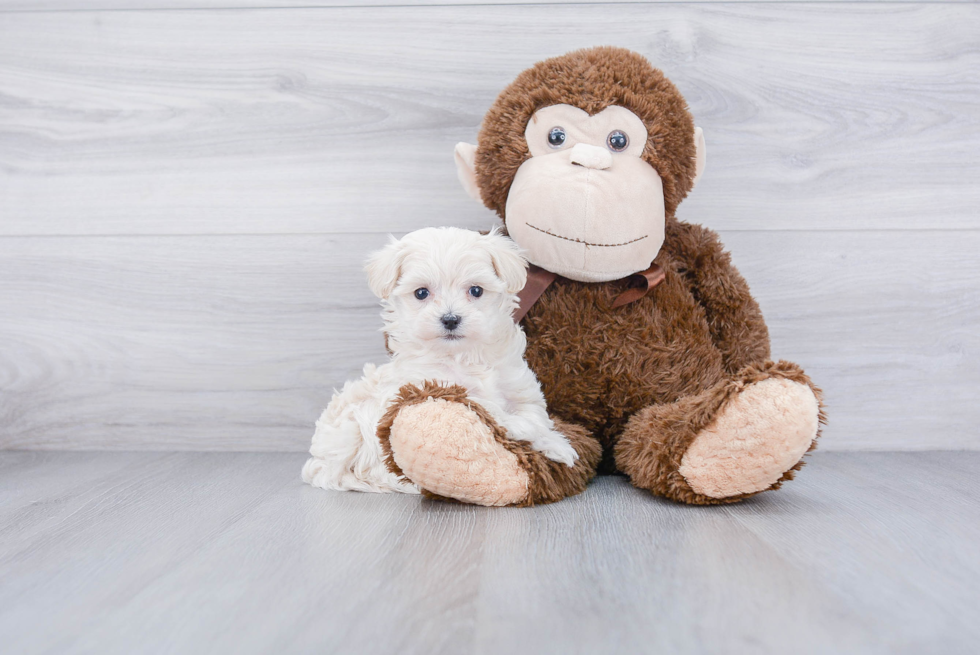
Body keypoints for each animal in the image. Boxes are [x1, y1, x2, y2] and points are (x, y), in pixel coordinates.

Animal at [298, 228, 576, 494]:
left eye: (476, 290)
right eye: (421, 293)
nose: (450, 319)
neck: (463, 355)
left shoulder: (522, 393)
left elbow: (533, 419)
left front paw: (557, 445)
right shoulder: (437, 387)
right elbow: (496, 413)